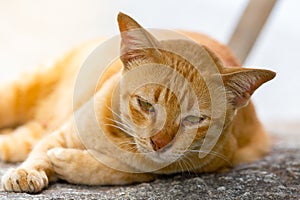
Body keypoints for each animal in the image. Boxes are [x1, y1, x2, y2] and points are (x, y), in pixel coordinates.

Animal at [1, 12, 276, 192]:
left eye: (194, 119)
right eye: (145, 104)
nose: (159, 143)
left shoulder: (217, 158)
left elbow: (122, 168)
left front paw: (69, 163)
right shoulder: (60, 134)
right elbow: (41, 153)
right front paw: (27, 172)